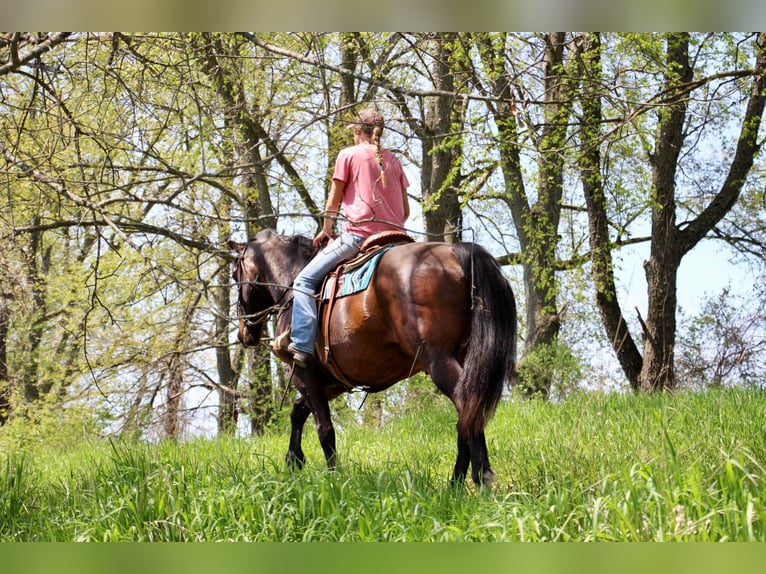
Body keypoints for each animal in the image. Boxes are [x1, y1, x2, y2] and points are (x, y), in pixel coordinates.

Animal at [228, 227, 516, 488]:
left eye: (234, 274)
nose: (244, 333)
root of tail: (456, 252)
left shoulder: (304, 376)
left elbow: (324, 429)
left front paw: (334, 479)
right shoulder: (331, 383)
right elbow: (298, 412)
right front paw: (294, 459)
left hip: (439, 361)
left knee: (467, 404)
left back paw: (480, 477)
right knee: (465, 413)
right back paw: (456, 483)